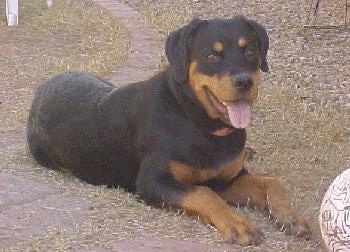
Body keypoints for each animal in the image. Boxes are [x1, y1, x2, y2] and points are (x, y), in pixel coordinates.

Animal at [27, 16, 312, 245]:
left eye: (251, 51)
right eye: (212, 55)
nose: (244, 81)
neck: (198, 124)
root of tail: (42, 88)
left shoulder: (226, 180)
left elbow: (271, 182)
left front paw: (291, 217)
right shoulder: (153, 181)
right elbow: (204, 193)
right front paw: (238, 223)